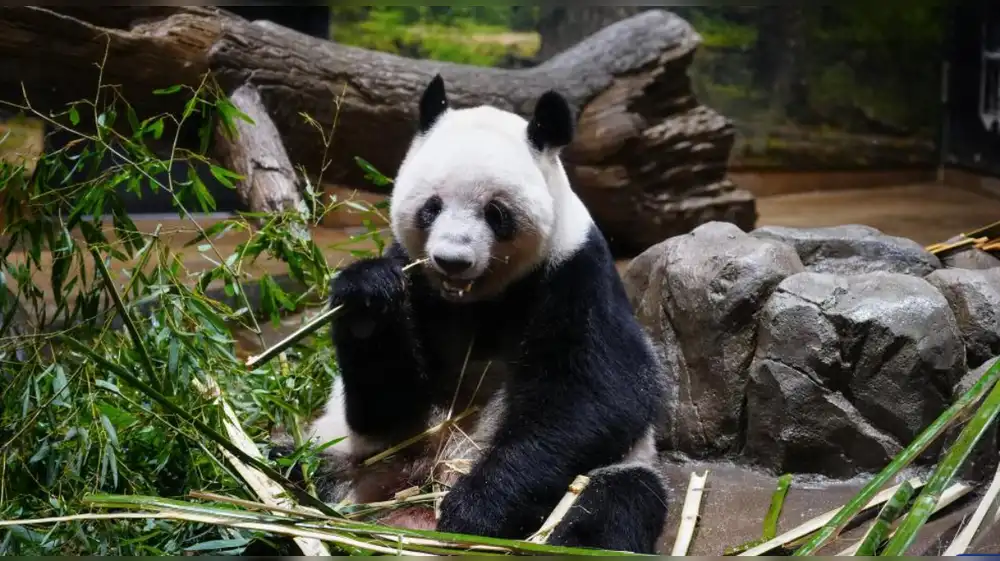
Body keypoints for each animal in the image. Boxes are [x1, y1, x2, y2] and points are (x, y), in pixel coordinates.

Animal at [276, 75, 669, 554]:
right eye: (431, 207)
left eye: (495, 213)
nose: (452, 260)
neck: (475, 300)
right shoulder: (416, 282)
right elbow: (388, 408)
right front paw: (368, 296)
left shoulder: (576, 273)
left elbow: (598, 395)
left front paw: (476, 511)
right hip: (341, 455)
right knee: (283, 465)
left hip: (611, 473)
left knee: (612, 506)